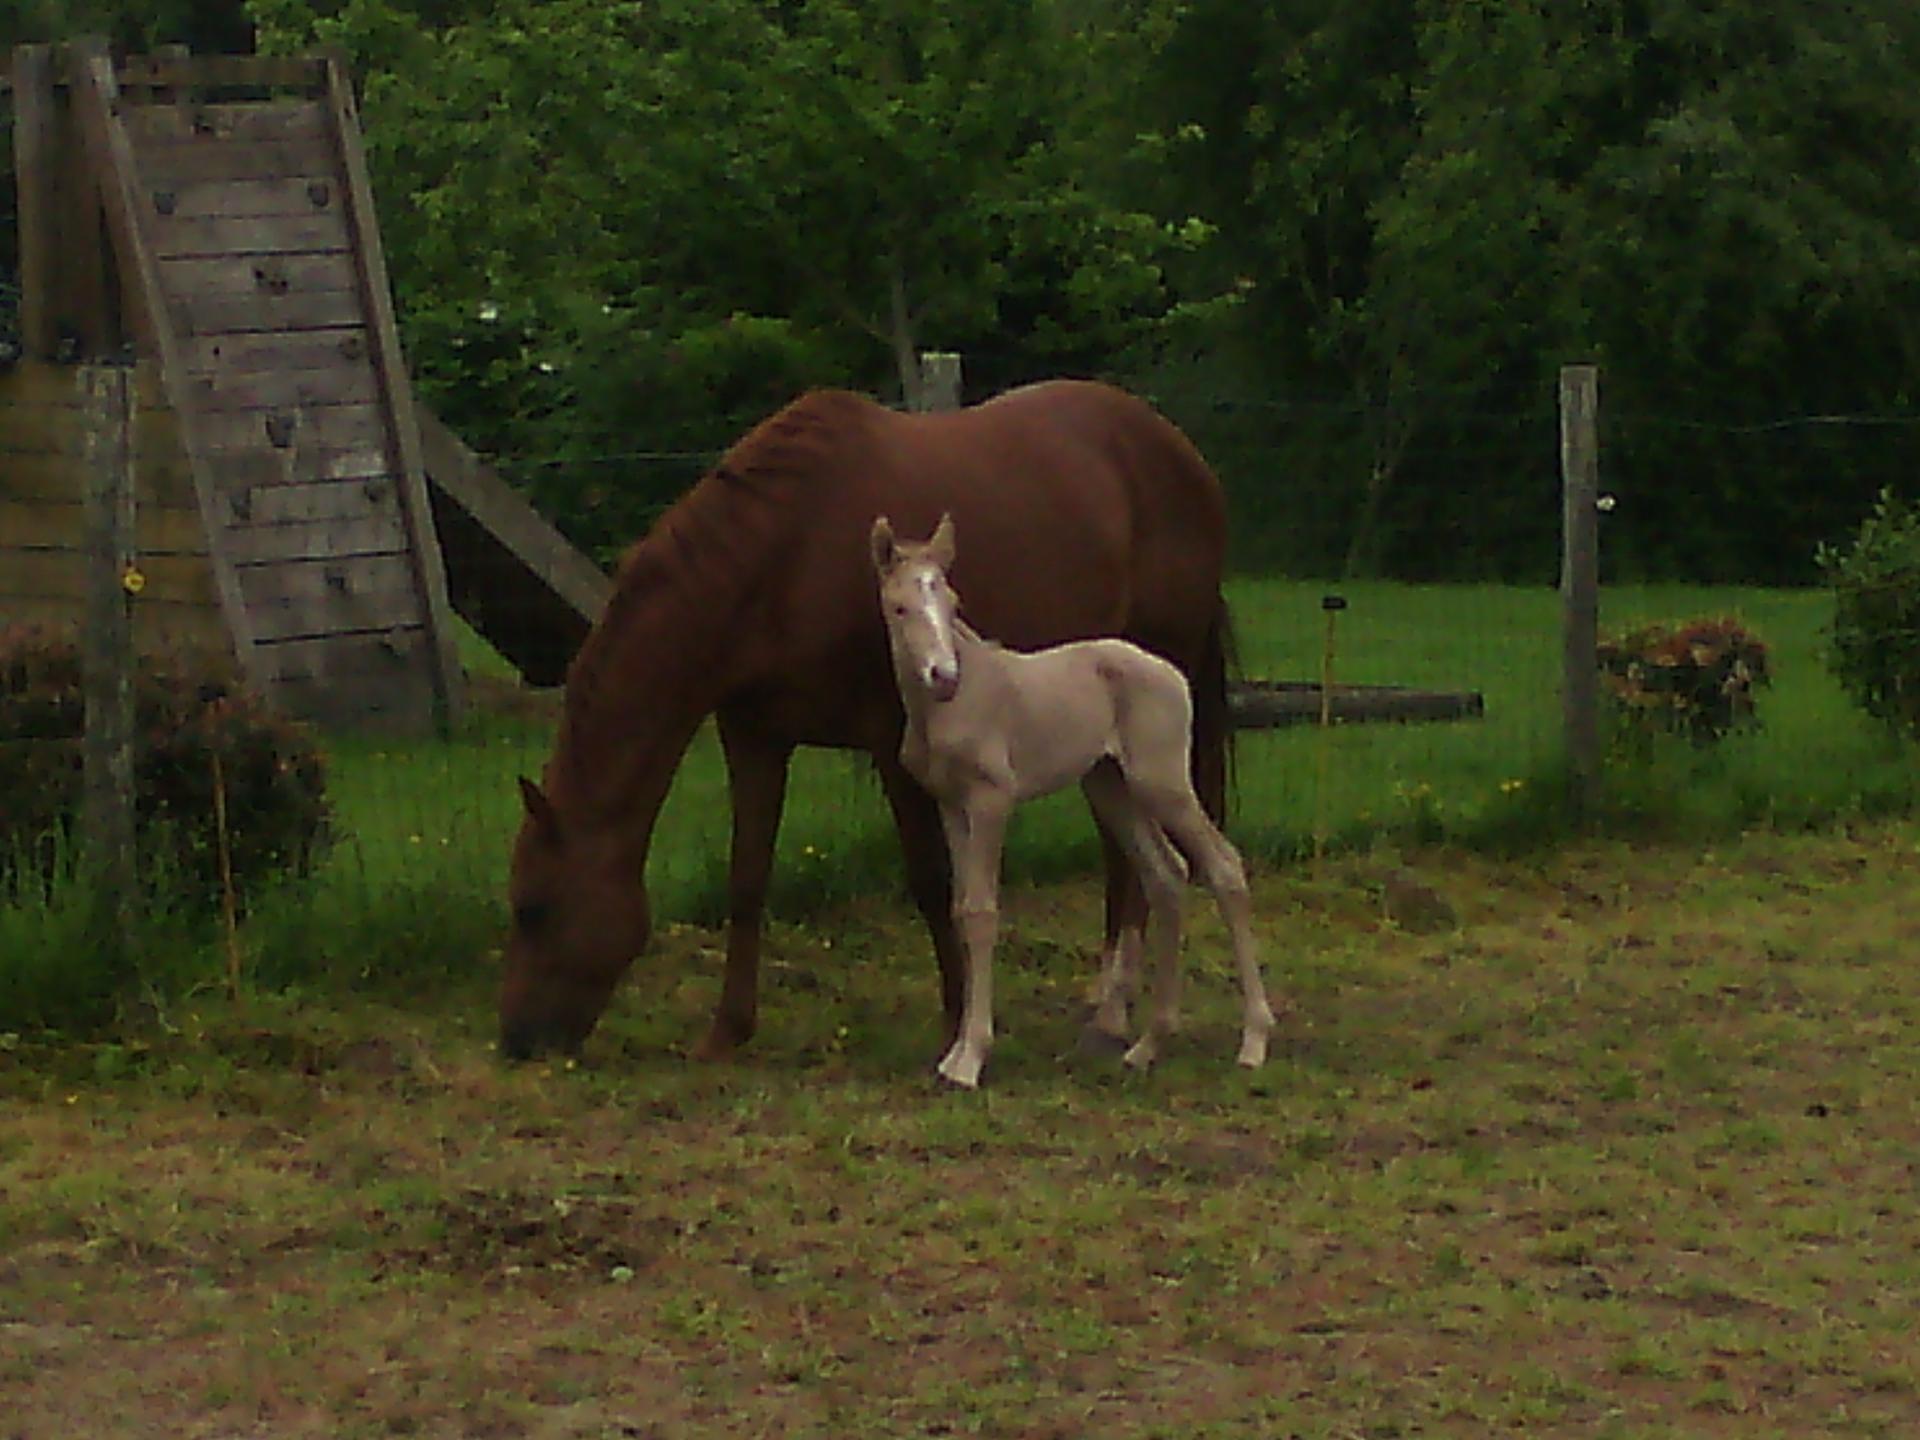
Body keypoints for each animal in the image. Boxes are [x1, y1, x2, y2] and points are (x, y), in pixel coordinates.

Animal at [499, 378, 1228, 1067]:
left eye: (534, 909)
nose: (516, 1042)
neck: (784, 556)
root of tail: (1179, 452)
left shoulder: (890, 741)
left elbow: (933, 880)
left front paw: (957, 1021)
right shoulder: (755, 738)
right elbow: (746, 878)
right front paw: (728, 1031)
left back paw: (1111, 1016)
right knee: (1125, 851)